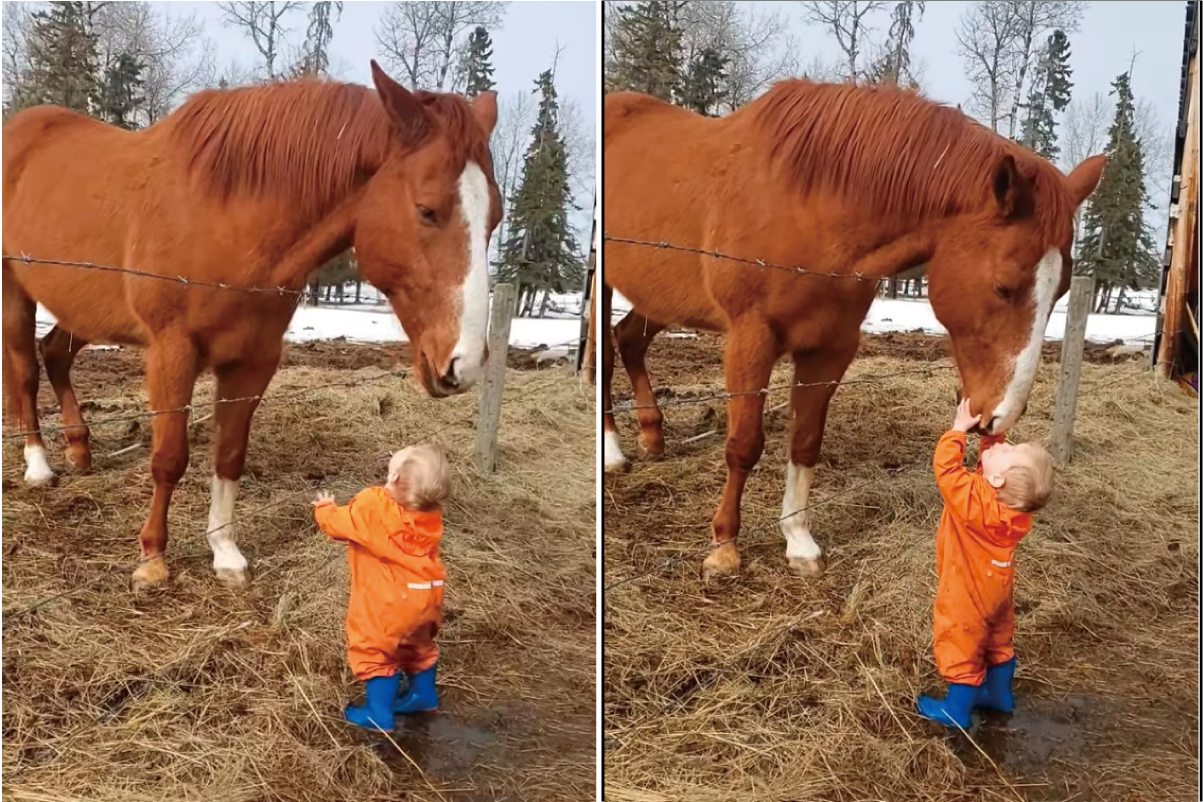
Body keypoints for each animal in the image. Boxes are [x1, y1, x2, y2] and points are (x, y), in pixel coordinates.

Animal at [2, 62, 500, 589]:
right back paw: (39, 465)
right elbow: (170, 458)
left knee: (55, 353)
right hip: (16, 293)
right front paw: (153, 558)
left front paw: (225, 553)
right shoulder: (172, 352)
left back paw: (79, 449)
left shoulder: (254, 361)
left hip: (84, 308)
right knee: (26, 370)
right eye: (427, 210)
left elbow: (229, 455)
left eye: (496, 218)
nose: (463, 364)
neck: (228, 218)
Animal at [606, 81, 1101, 579]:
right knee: (602, 358)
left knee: (628, 341)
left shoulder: (831, 348)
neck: (807, 207)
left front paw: (798, 541)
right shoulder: (751, 339)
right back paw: (613, 454)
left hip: (659, 295)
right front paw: (724, 547)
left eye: (1060, 291)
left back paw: (652, 436)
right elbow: (744, 444)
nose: (1000, 416)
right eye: (1004, 287)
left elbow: (805, 442)